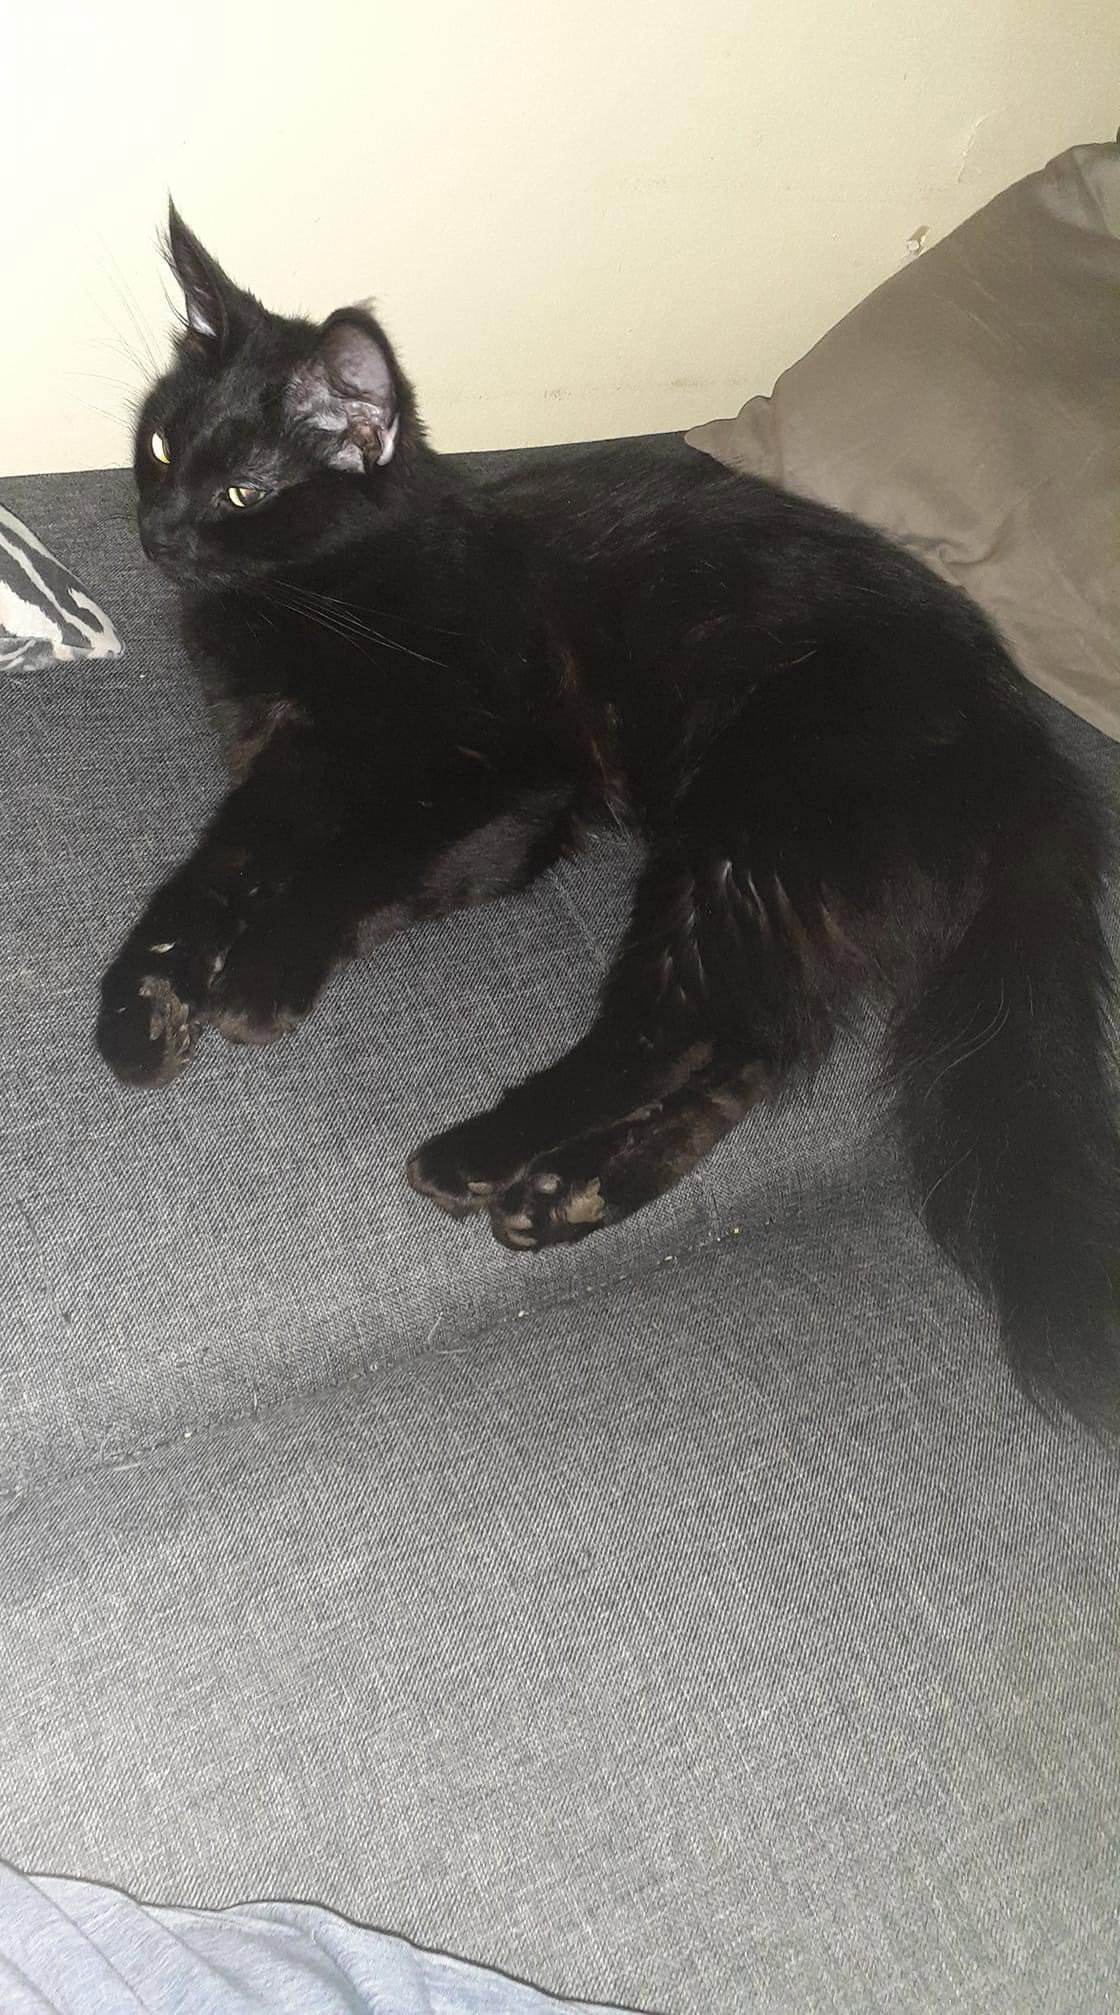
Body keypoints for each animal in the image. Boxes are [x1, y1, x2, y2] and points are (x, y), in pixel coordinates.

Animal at [97, 203, 1120, 1426]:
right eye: (162, 447)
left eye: (245, 494)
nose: (158, 532)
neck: (336, 585)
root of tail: (1025, 738)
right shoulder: (294, 773)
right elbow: (221, 865)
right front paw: (147, 997)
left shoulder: (503, 776)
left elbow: (356, 864)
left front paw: (258, 977)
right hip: (779, 893)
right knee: (741, 1050)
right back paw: (569, 1197)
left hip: (742, 847)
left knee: (658, 1032)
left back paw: (481, 1153)